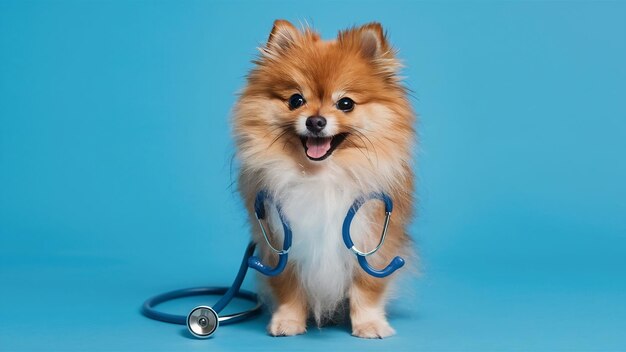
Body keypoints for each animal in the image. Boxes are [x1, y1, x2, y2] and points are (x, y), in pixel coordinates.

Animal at [232, 20, 412, 338]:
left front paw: (370, 324)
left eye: (346, 103)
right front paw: (288, 321)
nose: (315, 121)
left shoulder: (375, 239)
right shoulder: (278, 240)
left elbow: (367, 288)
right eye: (295, 100)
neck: (321, 174)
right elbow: (288, 285)